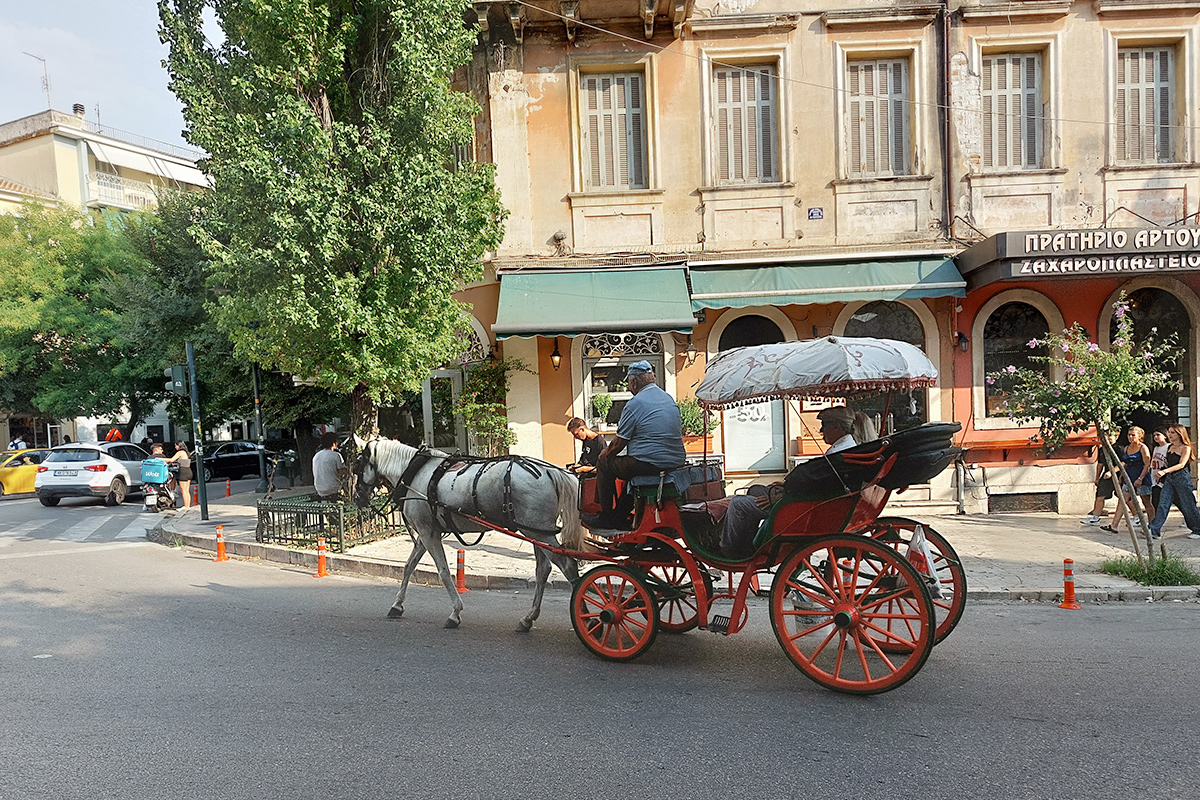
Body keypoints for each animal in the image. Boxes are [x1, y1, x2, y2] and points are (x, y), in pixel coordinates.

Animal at [352, 438, 583, 633]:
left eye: (358, 464)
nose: (356, 497)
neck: (415, 474)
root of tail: (549, 471)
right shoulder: (427, 533)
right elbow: (408, 566)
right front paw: (397, 605)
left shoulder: (428, 534)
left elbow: (444, 572)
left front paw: (455, 613)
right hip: (535, 531)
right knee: (543, 570)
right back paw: (528, 619)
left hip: (539, 532)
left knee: (567, 565)